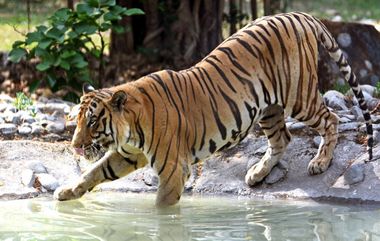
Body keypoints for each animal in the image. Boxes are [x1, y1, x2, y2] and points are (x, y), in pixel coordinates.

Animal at [54, 11, 374, 207]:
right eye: (77, 121)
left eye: (93, 122)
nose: (75, 146)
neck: (131, 128)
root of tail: (298, 15)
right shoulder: (127, 154)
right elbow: (94, 171)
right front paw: (67, 192)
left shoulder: (172, 168)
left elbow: (162, 208)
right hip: (269, 108)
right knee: (282, 139)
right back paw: (257, 173)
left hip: (299, 95)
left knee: (331, 119)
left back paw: (320, 162)